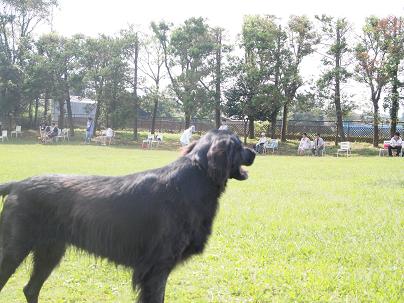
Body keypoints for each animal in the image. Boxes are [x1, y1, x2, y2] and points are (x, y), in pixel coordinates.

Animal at [0, 131, 254, 303]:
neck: (195, 178)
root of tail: (17, 185)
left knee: (30, 289)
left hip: (50, 252)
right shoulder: (157, 268)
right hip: (15, 249)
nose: (254, 151)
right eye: (239, 144)